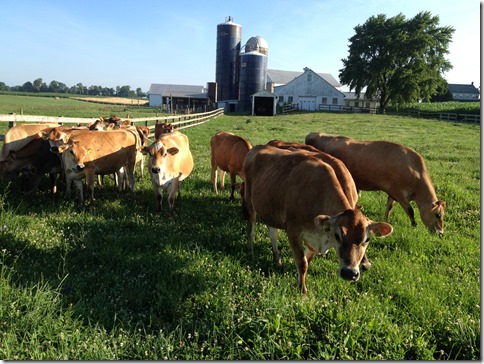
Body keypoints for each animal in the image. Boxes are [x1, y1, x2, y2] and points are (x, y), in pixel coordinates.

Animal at [242, 144, 394, 292]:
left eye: (367, 240)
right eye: (337, 235)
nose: (349, 273)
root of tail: (257, 147)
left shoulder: (313, 239)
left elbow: (307, 262)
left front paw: (300, 285)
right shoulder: (293, 231)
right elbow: (301, 263)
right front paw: (303, 292)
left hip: (269, 207)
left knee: (272, 234)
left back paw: (278, 261)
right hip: (249, 199)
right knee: (251, 227)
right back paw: (250, 251)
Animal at [306, 132, 446, 237]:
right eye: (438, 215)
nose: (441, 233)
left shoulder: (392, 193)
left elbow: (389, 207)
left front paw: (386, 220)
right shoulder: (399, 192)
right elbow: (410, 210)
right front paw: (414, 225)